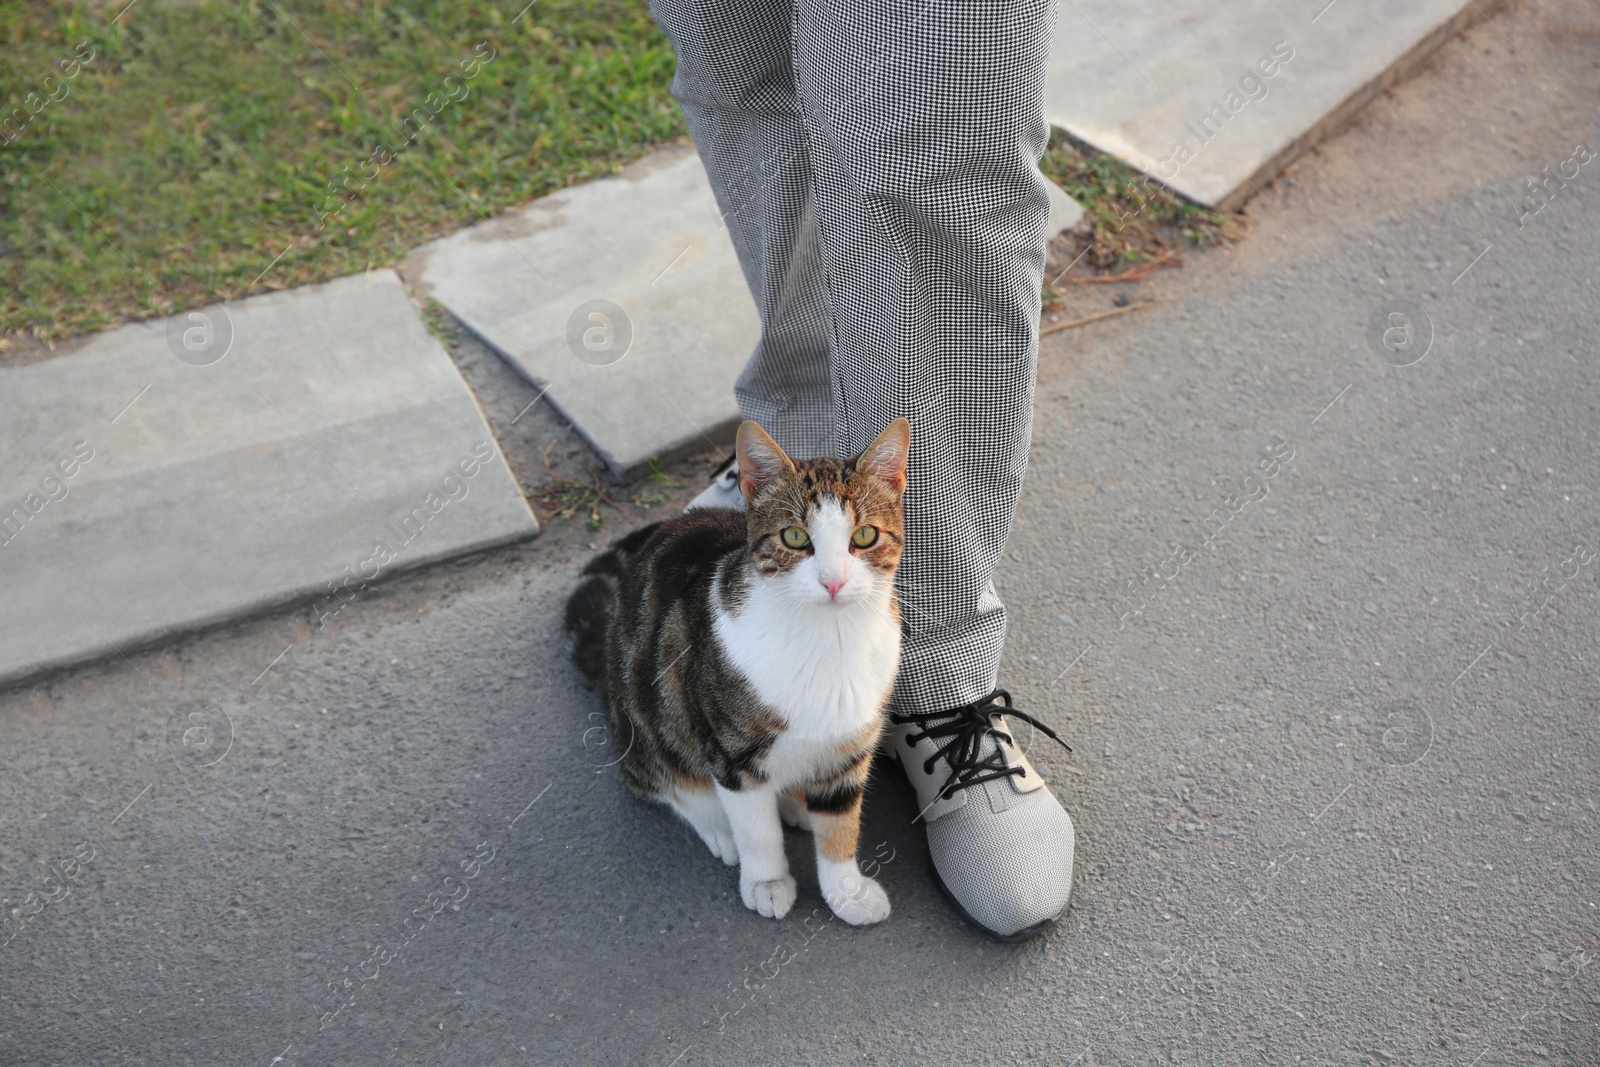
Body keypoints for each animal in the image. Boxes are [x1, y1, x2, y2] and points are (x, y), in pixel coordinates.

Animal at [566, 415, 915, 927]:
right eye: (795, 538)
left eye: (865, 536)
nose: (833, 581)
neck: (828, 638)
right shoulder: (731, 750)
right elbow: (756, 827)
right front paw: (767, 881)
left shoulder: (851, 742)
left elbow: (841, 819)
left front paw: (846, 890)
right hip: (650, 728)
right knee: (663, 781)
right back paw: (718, 827)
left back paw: (796, 803)